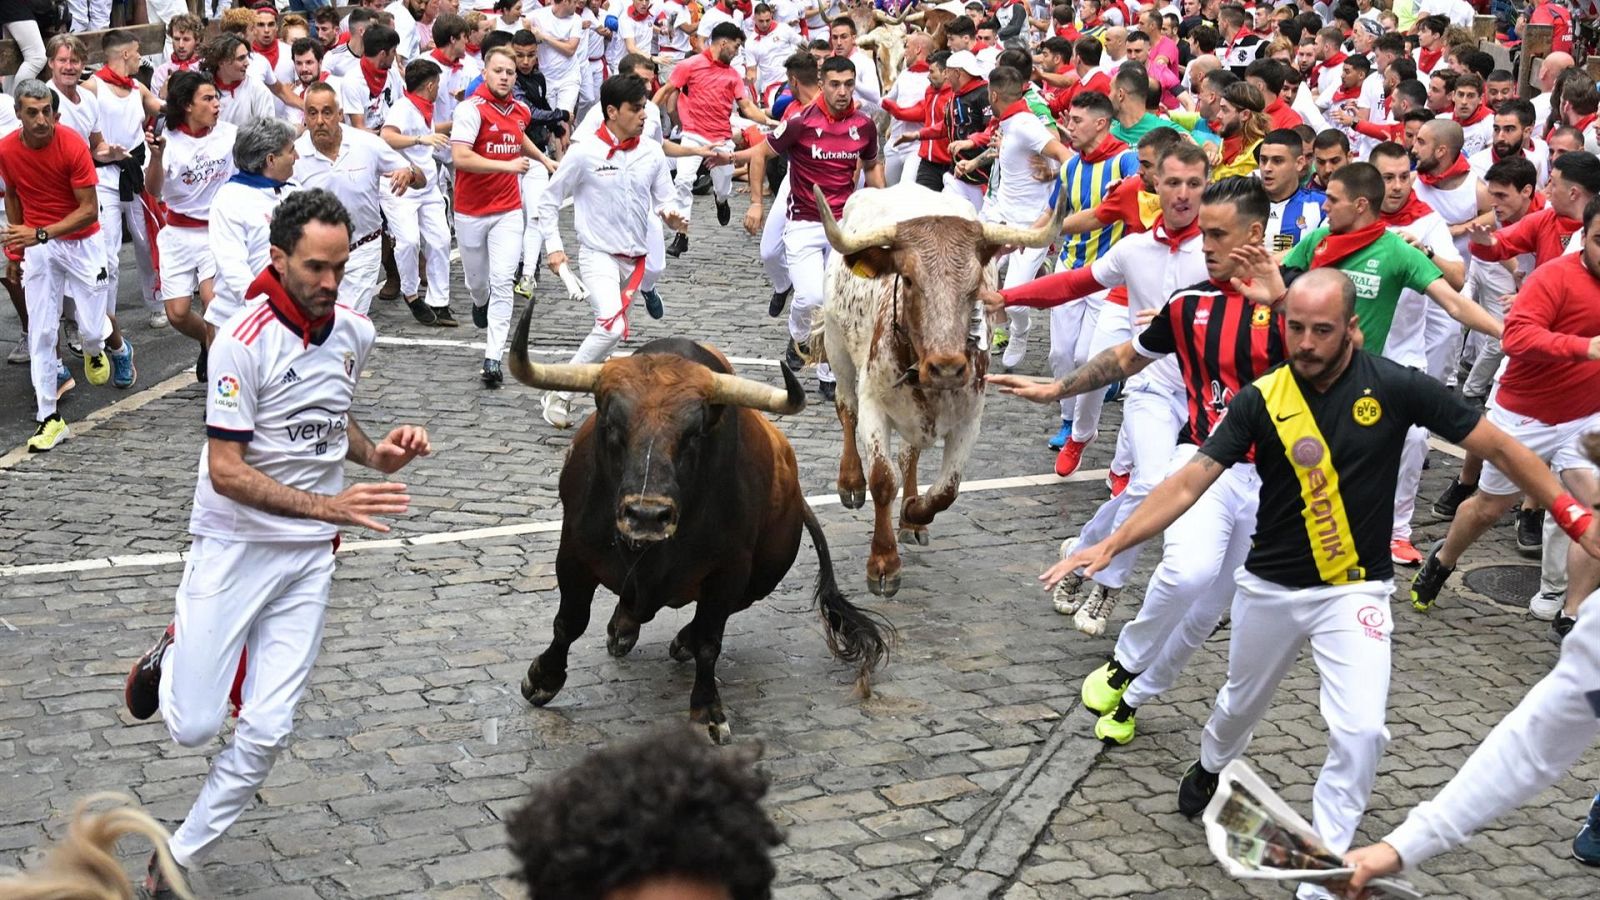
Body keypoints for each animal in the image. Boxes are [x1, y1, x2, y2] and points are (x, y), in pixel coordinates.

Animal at [508, 304, 896, 739]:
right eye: (611, 424)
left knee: (704, 623)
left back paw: (676, 640)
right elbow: (569, 622)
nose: (647, 515)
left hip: (762, 577)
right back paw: (624, 629)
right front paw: (542, 678)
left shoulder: (729, 572)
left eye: (694, 433)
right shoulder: (574, 552)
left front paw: (707, 708)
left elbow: (711, 640)